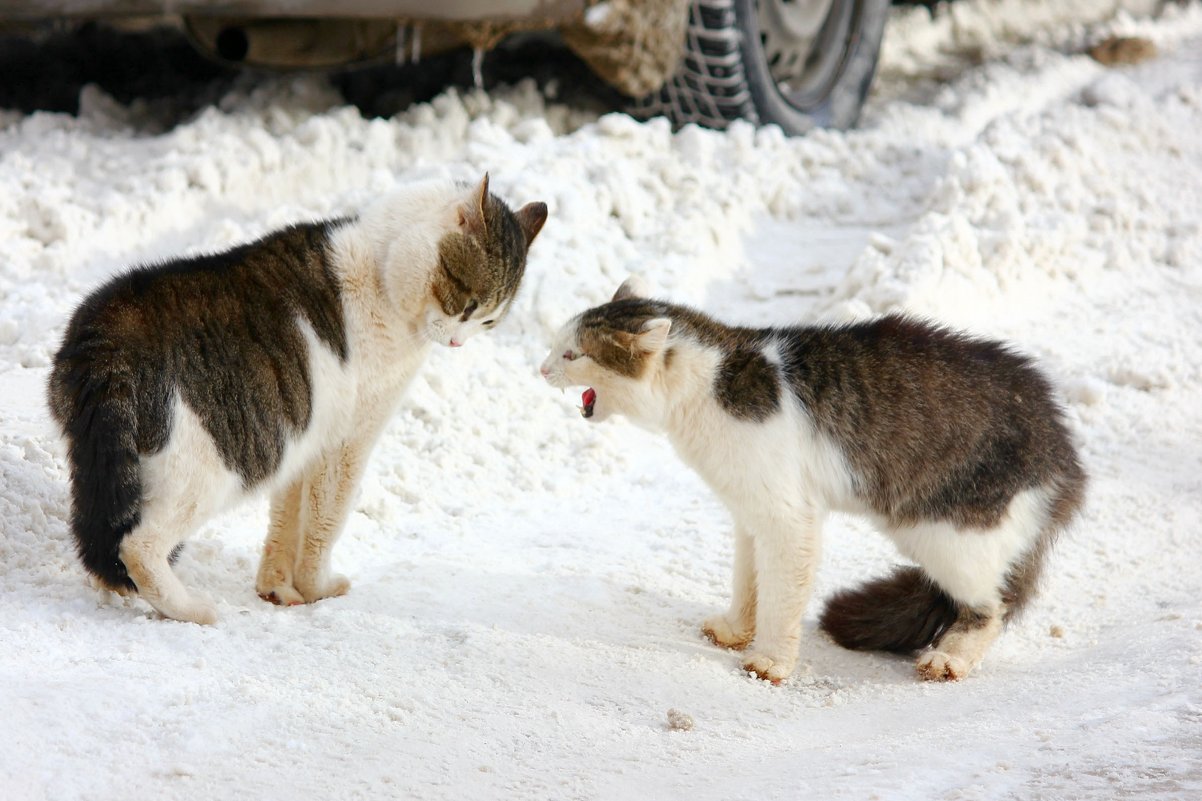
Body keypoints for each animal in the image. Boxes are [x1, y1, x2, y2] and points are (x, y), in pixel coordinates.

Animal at [49, 174, 548, 625]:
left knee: (100, 535)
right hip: (210, 469)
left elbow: (287, 520)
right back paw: (193, 610)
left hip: (106, 462)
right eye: (469, 304)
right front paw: (317, 588)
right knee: (137, 545)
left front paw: (277, 589)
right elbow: (326, 520)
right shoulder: (348, 441)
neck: (381, 269)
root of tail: (106, 334)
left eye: (490, 322)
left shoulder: (304, 444)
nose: (460, 343)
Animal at [540, 276, 1086, 678]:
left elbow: (782, 598)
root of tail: (1063, 445)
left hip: (950, 537)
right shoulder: (750, 515)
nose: (541, 369)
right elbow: (750, 585)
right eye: (557, 348)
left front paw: (770, 661)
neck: (709, 386)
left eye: (573, 355)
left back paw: (949, 658)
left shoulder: (787, 518)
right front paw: (736, 630)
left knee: (991, 608)